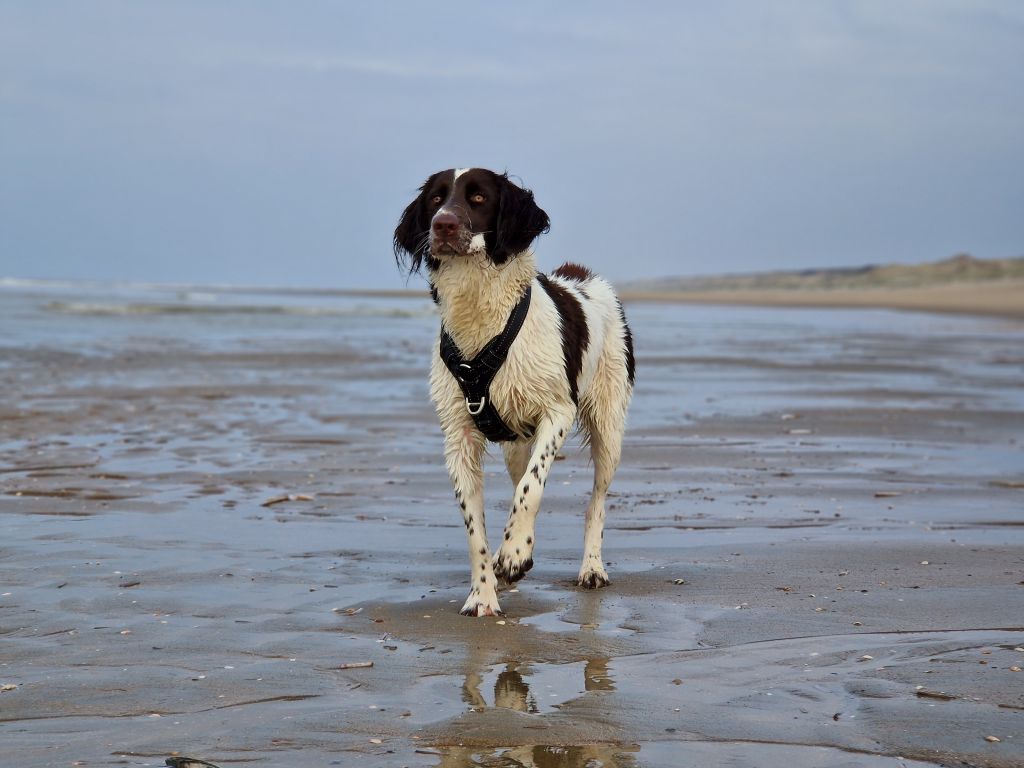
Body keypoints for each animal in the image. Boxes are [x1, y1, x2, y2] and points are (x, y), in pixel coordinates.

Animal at [393, 168, 635, 616]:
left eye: (478, 198)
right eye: (436, 199)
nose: (443, 225)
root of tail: (582, 275)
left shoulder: (557, 411)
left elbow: (531, 489)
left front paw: (515, 553)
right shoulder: (459, 437)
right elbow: (476, 526)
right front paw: (483, 594)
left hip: (609, 425)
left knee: (595, 500)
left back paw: (591, 567)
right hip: (514, 445)